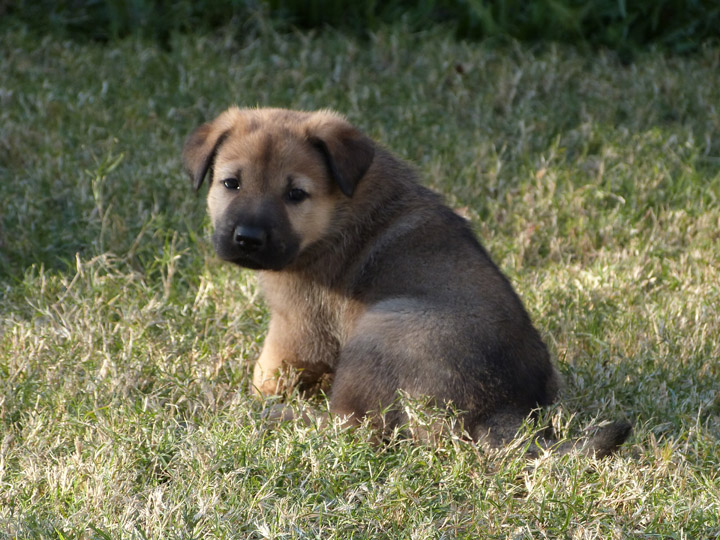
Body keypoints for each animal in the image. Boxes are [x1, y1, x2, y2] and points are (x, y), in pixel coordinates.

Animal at [184, 106, 632, 456]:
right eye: (231, 183)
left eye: (296, 194)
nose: (248, 239)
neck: (338, 211)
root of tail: (503, 408)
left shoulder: (298, 326)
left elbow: (268, 373)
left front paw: (252, 398)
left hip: (382, 327)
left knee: (353, 427)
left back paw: (281, 417)